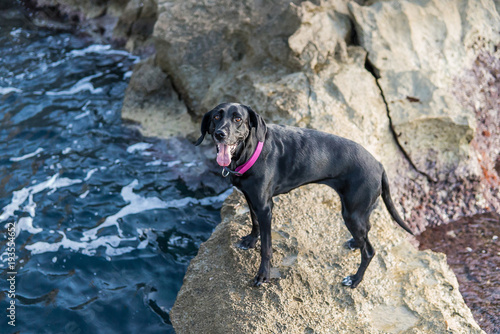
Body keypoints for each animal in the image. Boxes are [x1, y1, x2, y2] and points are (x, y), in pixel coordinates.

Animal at [193, 102, 412, 288]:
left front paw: (263, 275)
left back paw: (355, 279)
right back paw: (354, 243)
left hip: (352, 213)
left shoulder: (266, 208)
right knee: (366, 232)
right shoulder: (251, 199)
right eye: (216, 117)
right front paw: (250, 240)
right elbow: (253, 221)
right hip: (358, 214)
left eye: (238, 119)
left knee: (369, 251)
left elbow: (266, 247)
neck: (251, 152)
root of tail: (379, 165)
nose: (220, 134)